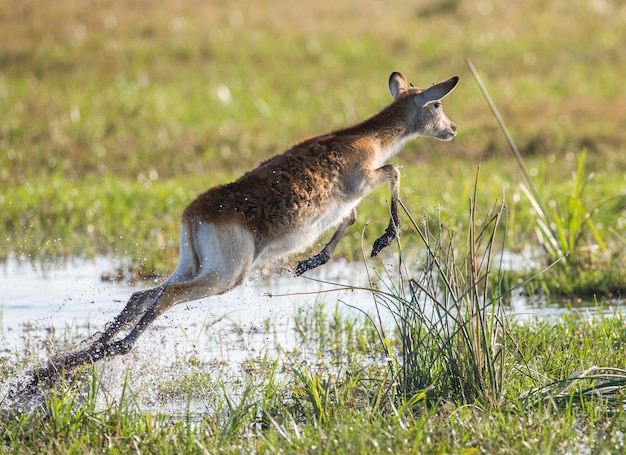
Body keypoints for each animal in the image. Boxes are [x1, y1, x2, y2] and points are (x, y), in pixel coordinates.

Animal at [35, 70, 454, 378]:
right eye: (436, 102)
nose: (452, 129)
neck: (363, 139)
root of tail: (195, 212)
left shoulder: (343, 205)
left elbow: (349, 217)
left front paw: (311, 261)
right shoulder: (363, 180)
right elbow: (394, 171)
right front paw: (385, 238)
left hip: (192, 264)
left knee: (142, 295)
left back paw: (62, 364)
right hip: (226, 275)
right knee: (165, 297)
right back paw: (114, 349)